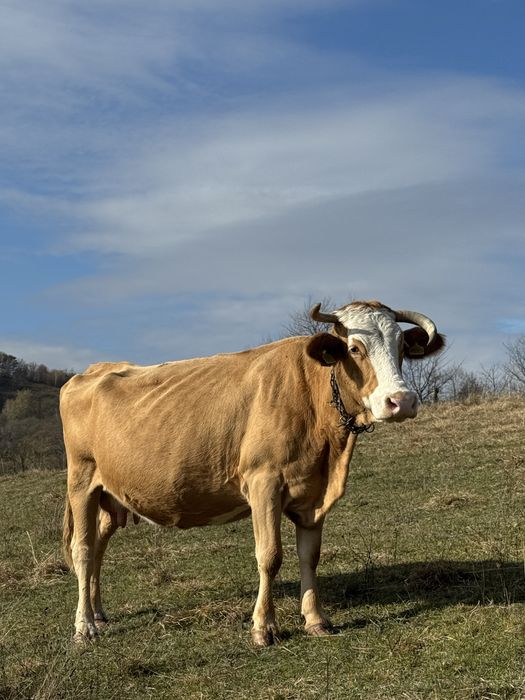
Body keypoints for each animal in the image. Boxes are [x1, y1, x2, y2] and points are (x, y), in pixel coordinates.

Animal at [61, 300, 444, 646]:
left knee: (98, 547)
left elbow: (310, 556)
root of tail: (92, 371)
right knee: (82, 550)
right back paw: (84, 627)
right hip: (82, 480)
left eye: (402, 348)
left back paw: (98, 614)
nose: (401, 401)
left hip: (110, 495)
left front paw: (315, 620)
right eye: (354, 348)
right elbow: (269, 556)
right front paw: (264, 627)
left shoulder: (314, 493)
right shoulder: (264, 482)